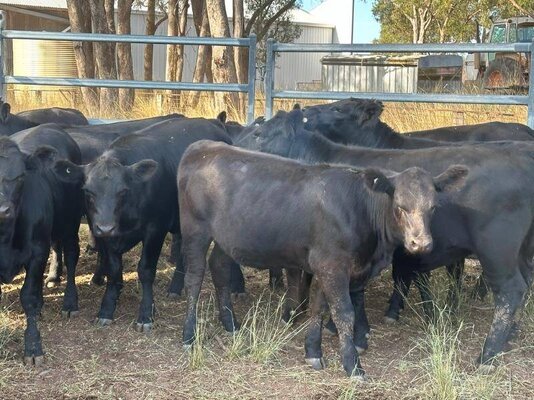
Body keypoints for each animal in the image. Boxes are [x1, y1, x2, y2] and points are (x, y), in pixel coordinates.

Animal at [0, 130, 82, 366]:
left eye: (20, 177)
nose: (2, 210)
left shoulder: (37, 253)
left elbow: (28, 297)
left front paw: (33, 346)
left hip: (70, 223)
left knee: (71, 256)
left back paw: (70, 304)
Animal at [55, 117, 233, 330]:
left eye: (122, 191)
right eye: (88, 191)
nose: (106, 227)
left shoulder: (155, 230)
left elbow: (146, 270)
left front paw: (146, 314)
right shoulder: (103, 233)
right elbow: (113, 270)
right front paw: (106, 308)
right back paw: (175, 287)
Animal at [178, 141, 466, 378]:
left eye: (433, 207)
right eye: (400, 207)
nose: (422, 243)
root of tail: (203, 146)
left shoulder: (330, 266)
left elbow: (319, 306)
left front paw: (313, 352)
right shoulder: (332, 265)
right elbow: (344, 312)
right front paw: (352, 365)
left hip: (225, 238)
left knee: (219, 268)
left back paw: (230, 323)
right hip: (195, 231)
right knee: (194, 278)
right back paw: (189, 334)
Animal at [249, 108, 534, 368]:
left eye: (258, 134)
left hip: (497, 250)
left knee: (511, 290)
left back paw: (487, 355)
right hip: (522, 250)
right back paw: (510, 334)